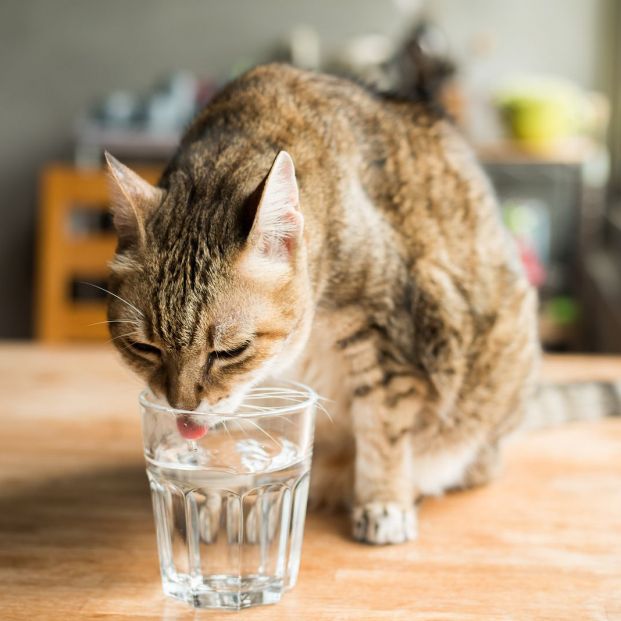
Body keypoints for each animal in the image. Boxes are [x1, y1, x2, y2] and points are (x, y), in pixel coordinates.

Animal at [105, 63, 536, 544]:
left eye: (231, 351)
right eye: (144, 348)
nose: (181, 410)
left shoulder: (386, 330)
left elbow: (383, 427)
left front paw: (384, 500)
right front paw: (212, 494)